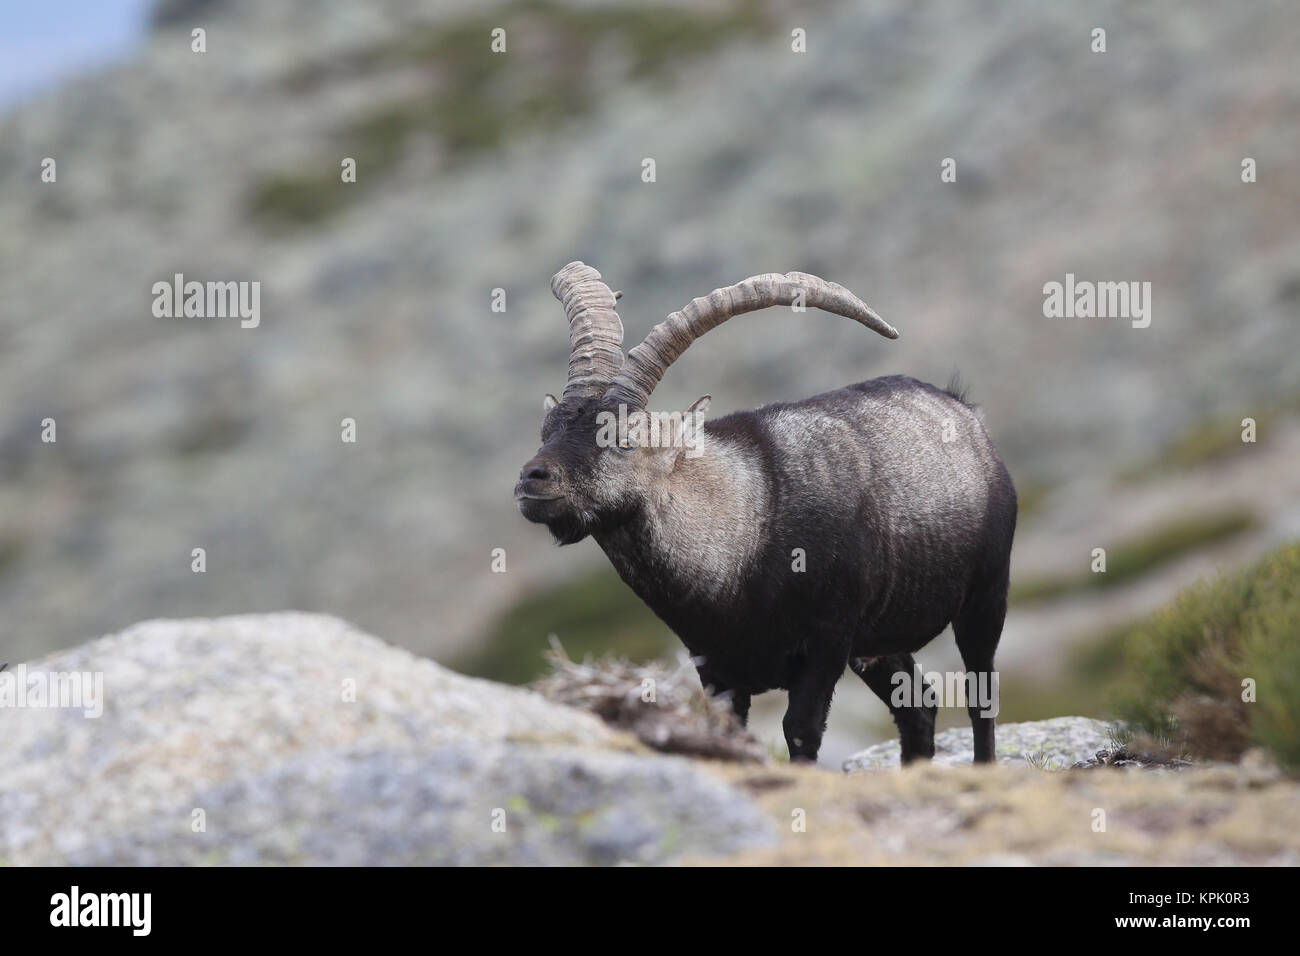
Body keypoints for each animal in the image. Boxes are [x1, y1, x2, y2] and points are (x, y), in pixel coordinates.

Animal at [514, 261, 1013, 764]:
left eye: (623, 439)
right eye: (547, 430)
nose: (532, 478)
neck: (744, 531)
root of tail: (963, 411)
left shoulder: (828, 640)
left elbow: (801, 731)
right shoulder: (715, 666)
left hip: (985, 594)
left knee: (980, 697)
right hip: (877, 645)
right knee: (918, 708)